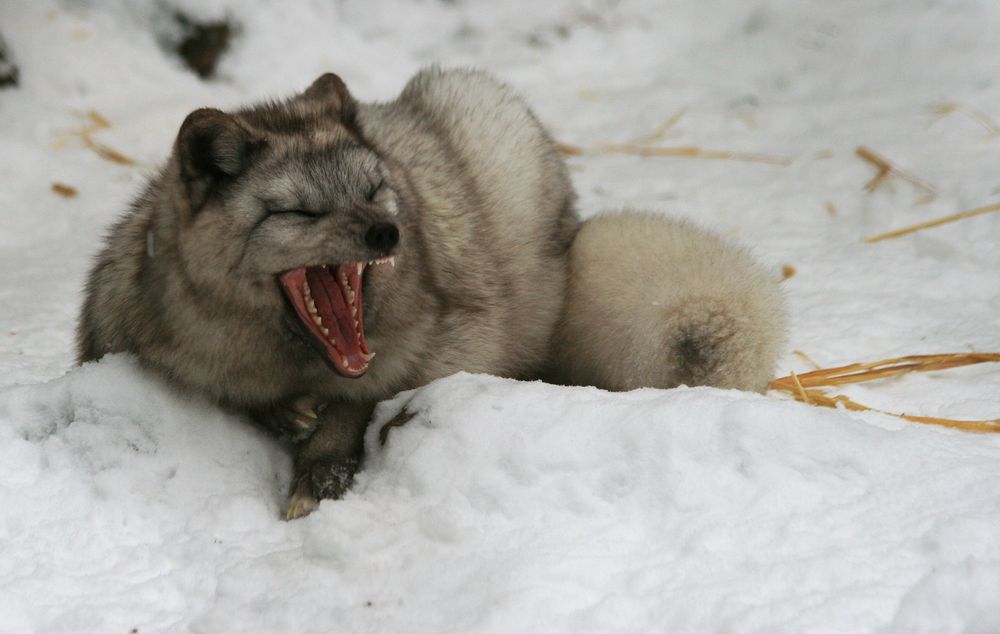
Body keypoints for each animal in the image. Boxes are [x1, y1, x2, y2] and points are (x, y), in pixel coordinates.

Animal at [76, 69, 580, 516]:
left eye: (373, 190)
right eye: (301, 212)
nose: (388, 231)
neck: (292, 365)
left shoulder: (462, 348)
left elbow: (360, 401)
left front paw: (321, 468)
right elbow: (237, 394)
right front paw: (282, 414)